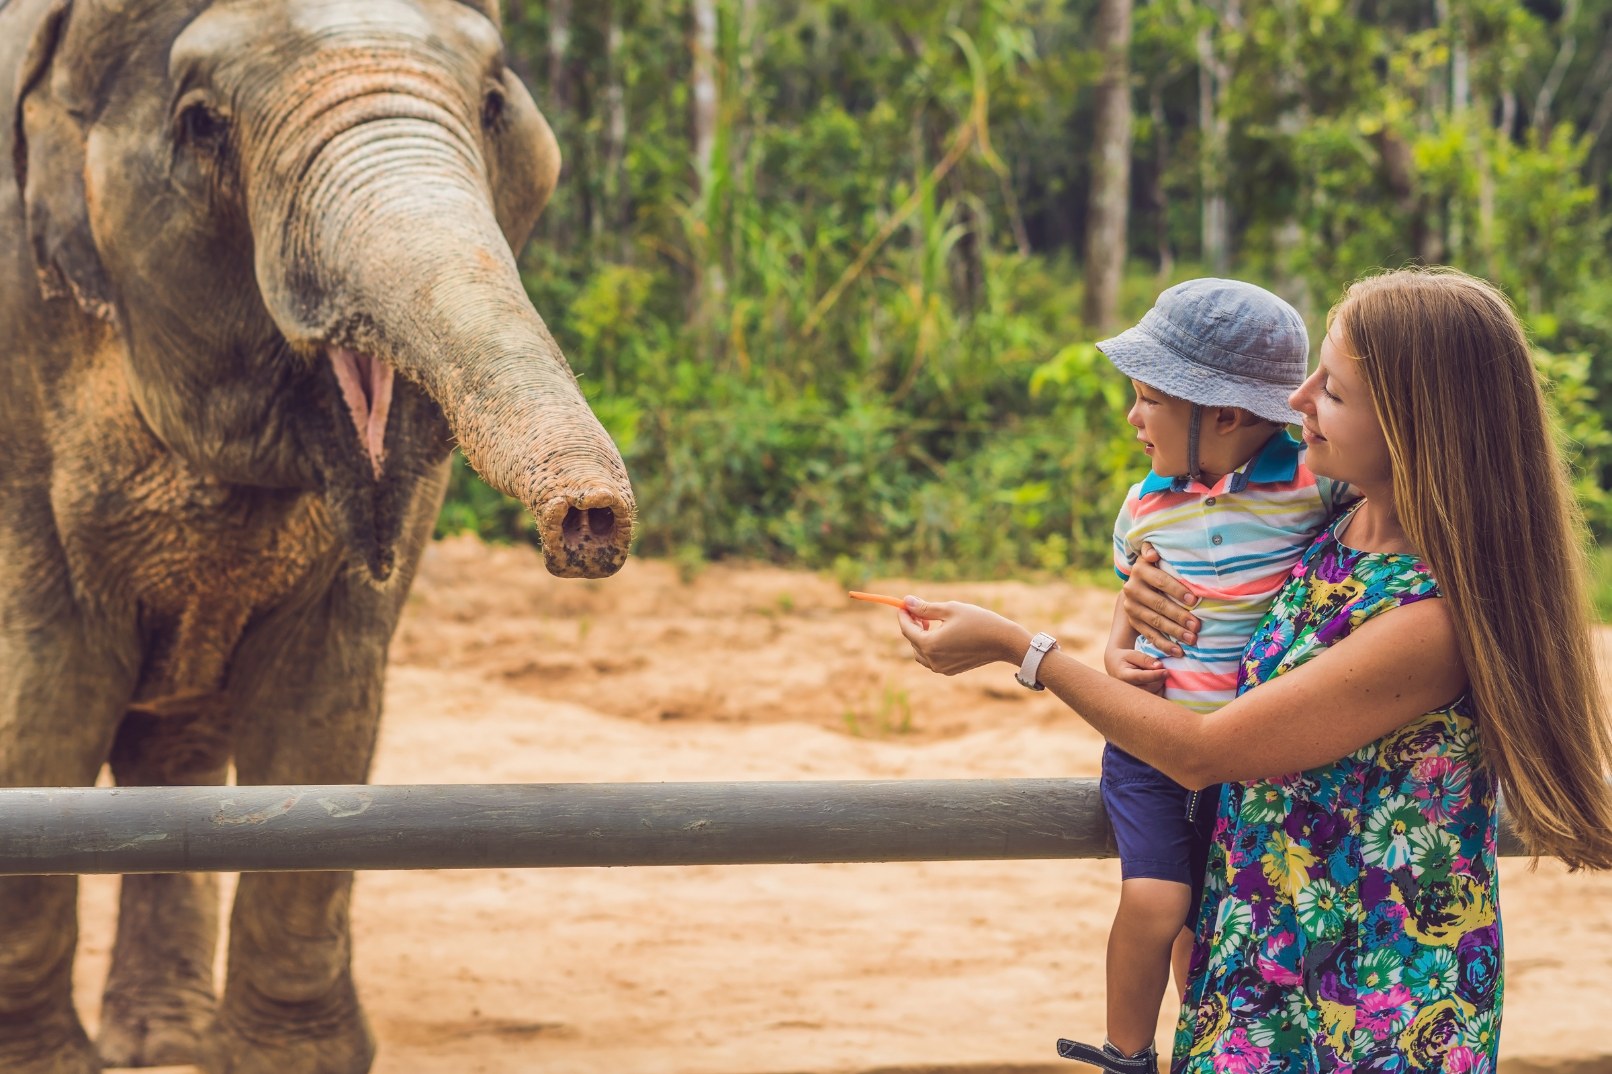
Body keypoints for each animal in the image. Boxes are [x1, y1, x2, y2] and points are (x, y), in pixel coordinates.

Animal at [0, 0, 641, 1064]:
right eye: (203, 124)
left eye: (495, 102)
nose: (589, 524)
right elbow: (46, 694)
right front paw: (40, 1065)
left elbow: (321, 699)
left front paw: (293, 1062)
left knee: (176, 750)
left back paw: (165, 1044)